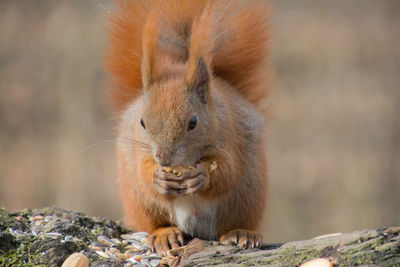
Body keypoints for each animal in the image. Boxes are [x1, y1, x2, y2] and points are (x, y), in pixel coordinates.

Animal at [105, 0, 268, 256]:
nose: (163, 158)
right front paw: (158, 177)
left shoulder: (230, 136)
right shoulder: (139, 149)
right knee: (154, 220)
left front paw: (201, 175)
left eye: (193, 123)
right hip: (139, 201)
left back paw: (241, 233)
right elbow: (144, 171)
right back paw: (164, 235)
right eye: (142, 122)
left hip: (248, 195)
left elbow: (227, 171)